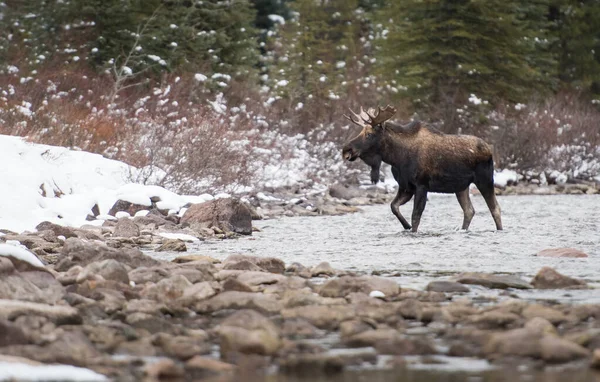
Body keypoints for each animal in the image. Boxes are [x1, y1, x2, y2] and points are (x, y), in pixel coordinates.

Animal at [342, 103, 502, 233]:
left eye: (369, 134)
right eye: (361, 132)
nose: (346, 150)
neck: (397, 157)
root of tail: (489, 150)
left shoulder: (421, 185)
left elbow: (415, 216)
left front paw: (411, 229)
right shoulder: (406, 187)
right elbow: (394, 206)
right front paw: (406, 226)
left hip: (485, 180)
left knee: (495, 209)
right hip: (461, 187)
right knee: (469, 210)